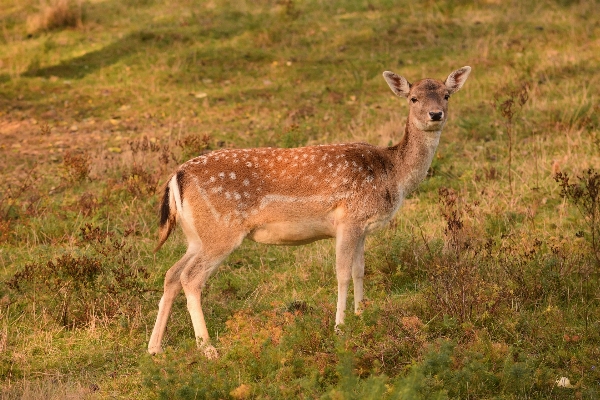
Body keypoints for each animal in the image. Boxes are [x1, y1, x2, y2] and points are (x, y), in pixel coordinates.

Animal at [148, 65, 472, 356]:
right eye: (413, 98)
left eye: (446, 95)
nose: (435, 114)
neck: (393, 173)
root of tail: (176, 176)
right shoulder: (348, 219)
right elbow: (342, 273)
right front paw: (340, 328)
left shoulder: (363, 227)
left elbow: (360, 270)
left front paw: (362, 316)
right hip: (221, 231)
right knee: (191, 278)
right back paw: (207, 348)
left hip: (197, 235)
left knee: (171, 274)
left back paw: (154, 348)